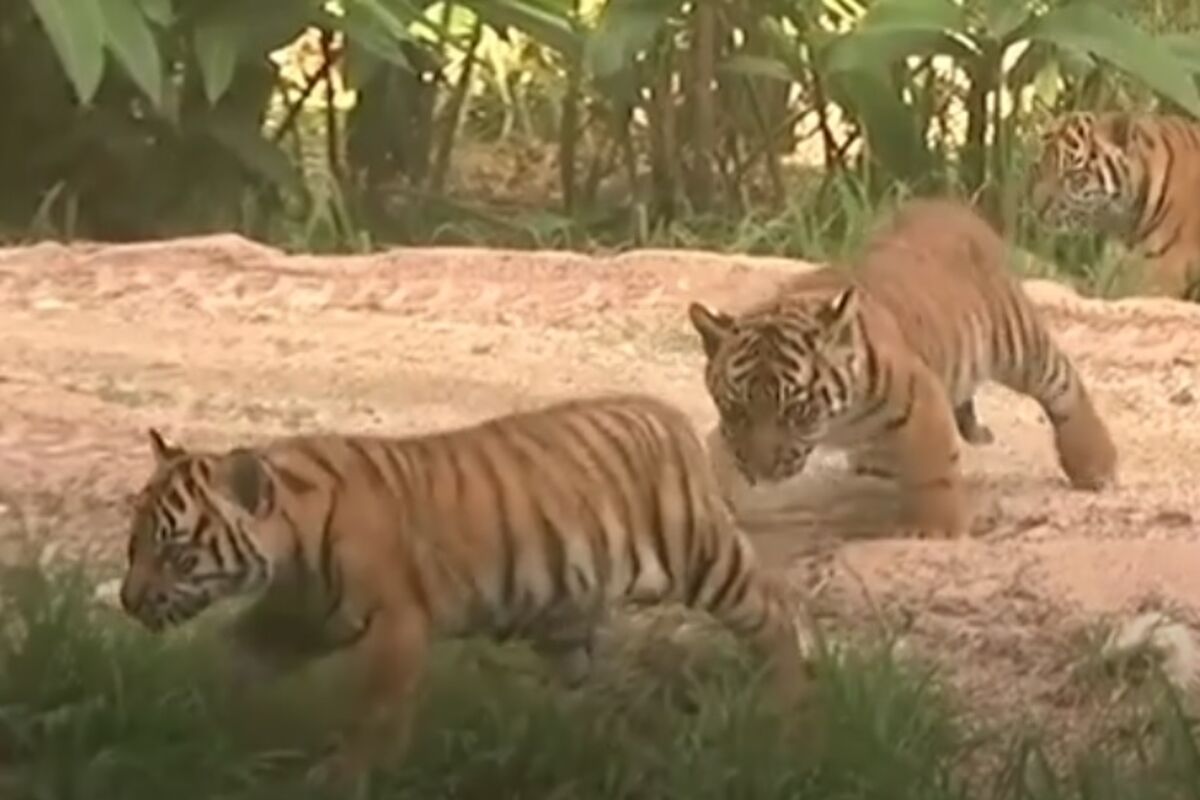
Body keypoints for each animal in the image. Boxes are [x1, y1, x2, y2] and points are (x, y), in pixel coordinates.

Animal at [117, 394, 817, 781]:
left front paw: (347, 774)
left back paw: (786, 711)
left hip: (701, 558)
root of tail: (666, 413)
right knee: (581, 683)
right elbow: (239, 659)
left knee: (775, 613)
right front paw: (212, 723)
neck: (290, 546)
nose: (128, 601)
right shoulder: (300, 615)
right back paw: (586, 741)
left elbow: (377, 712)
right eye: (134, 545)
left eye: (176, 553)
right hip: (563, 612)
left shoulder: (395, 621)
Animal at [687, 197, 1118, 539]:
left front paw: (933, 530)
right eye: (736, 411)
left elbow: (933, 469)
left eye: (797, 411)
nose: (764, 470)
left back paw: (1096, 466)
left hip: (1016, 341)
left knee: (1063, 385)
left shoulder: (920, 399)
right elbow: (716, 459)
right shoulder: (729, 435)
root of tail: (951, 205)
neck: (836, 423)